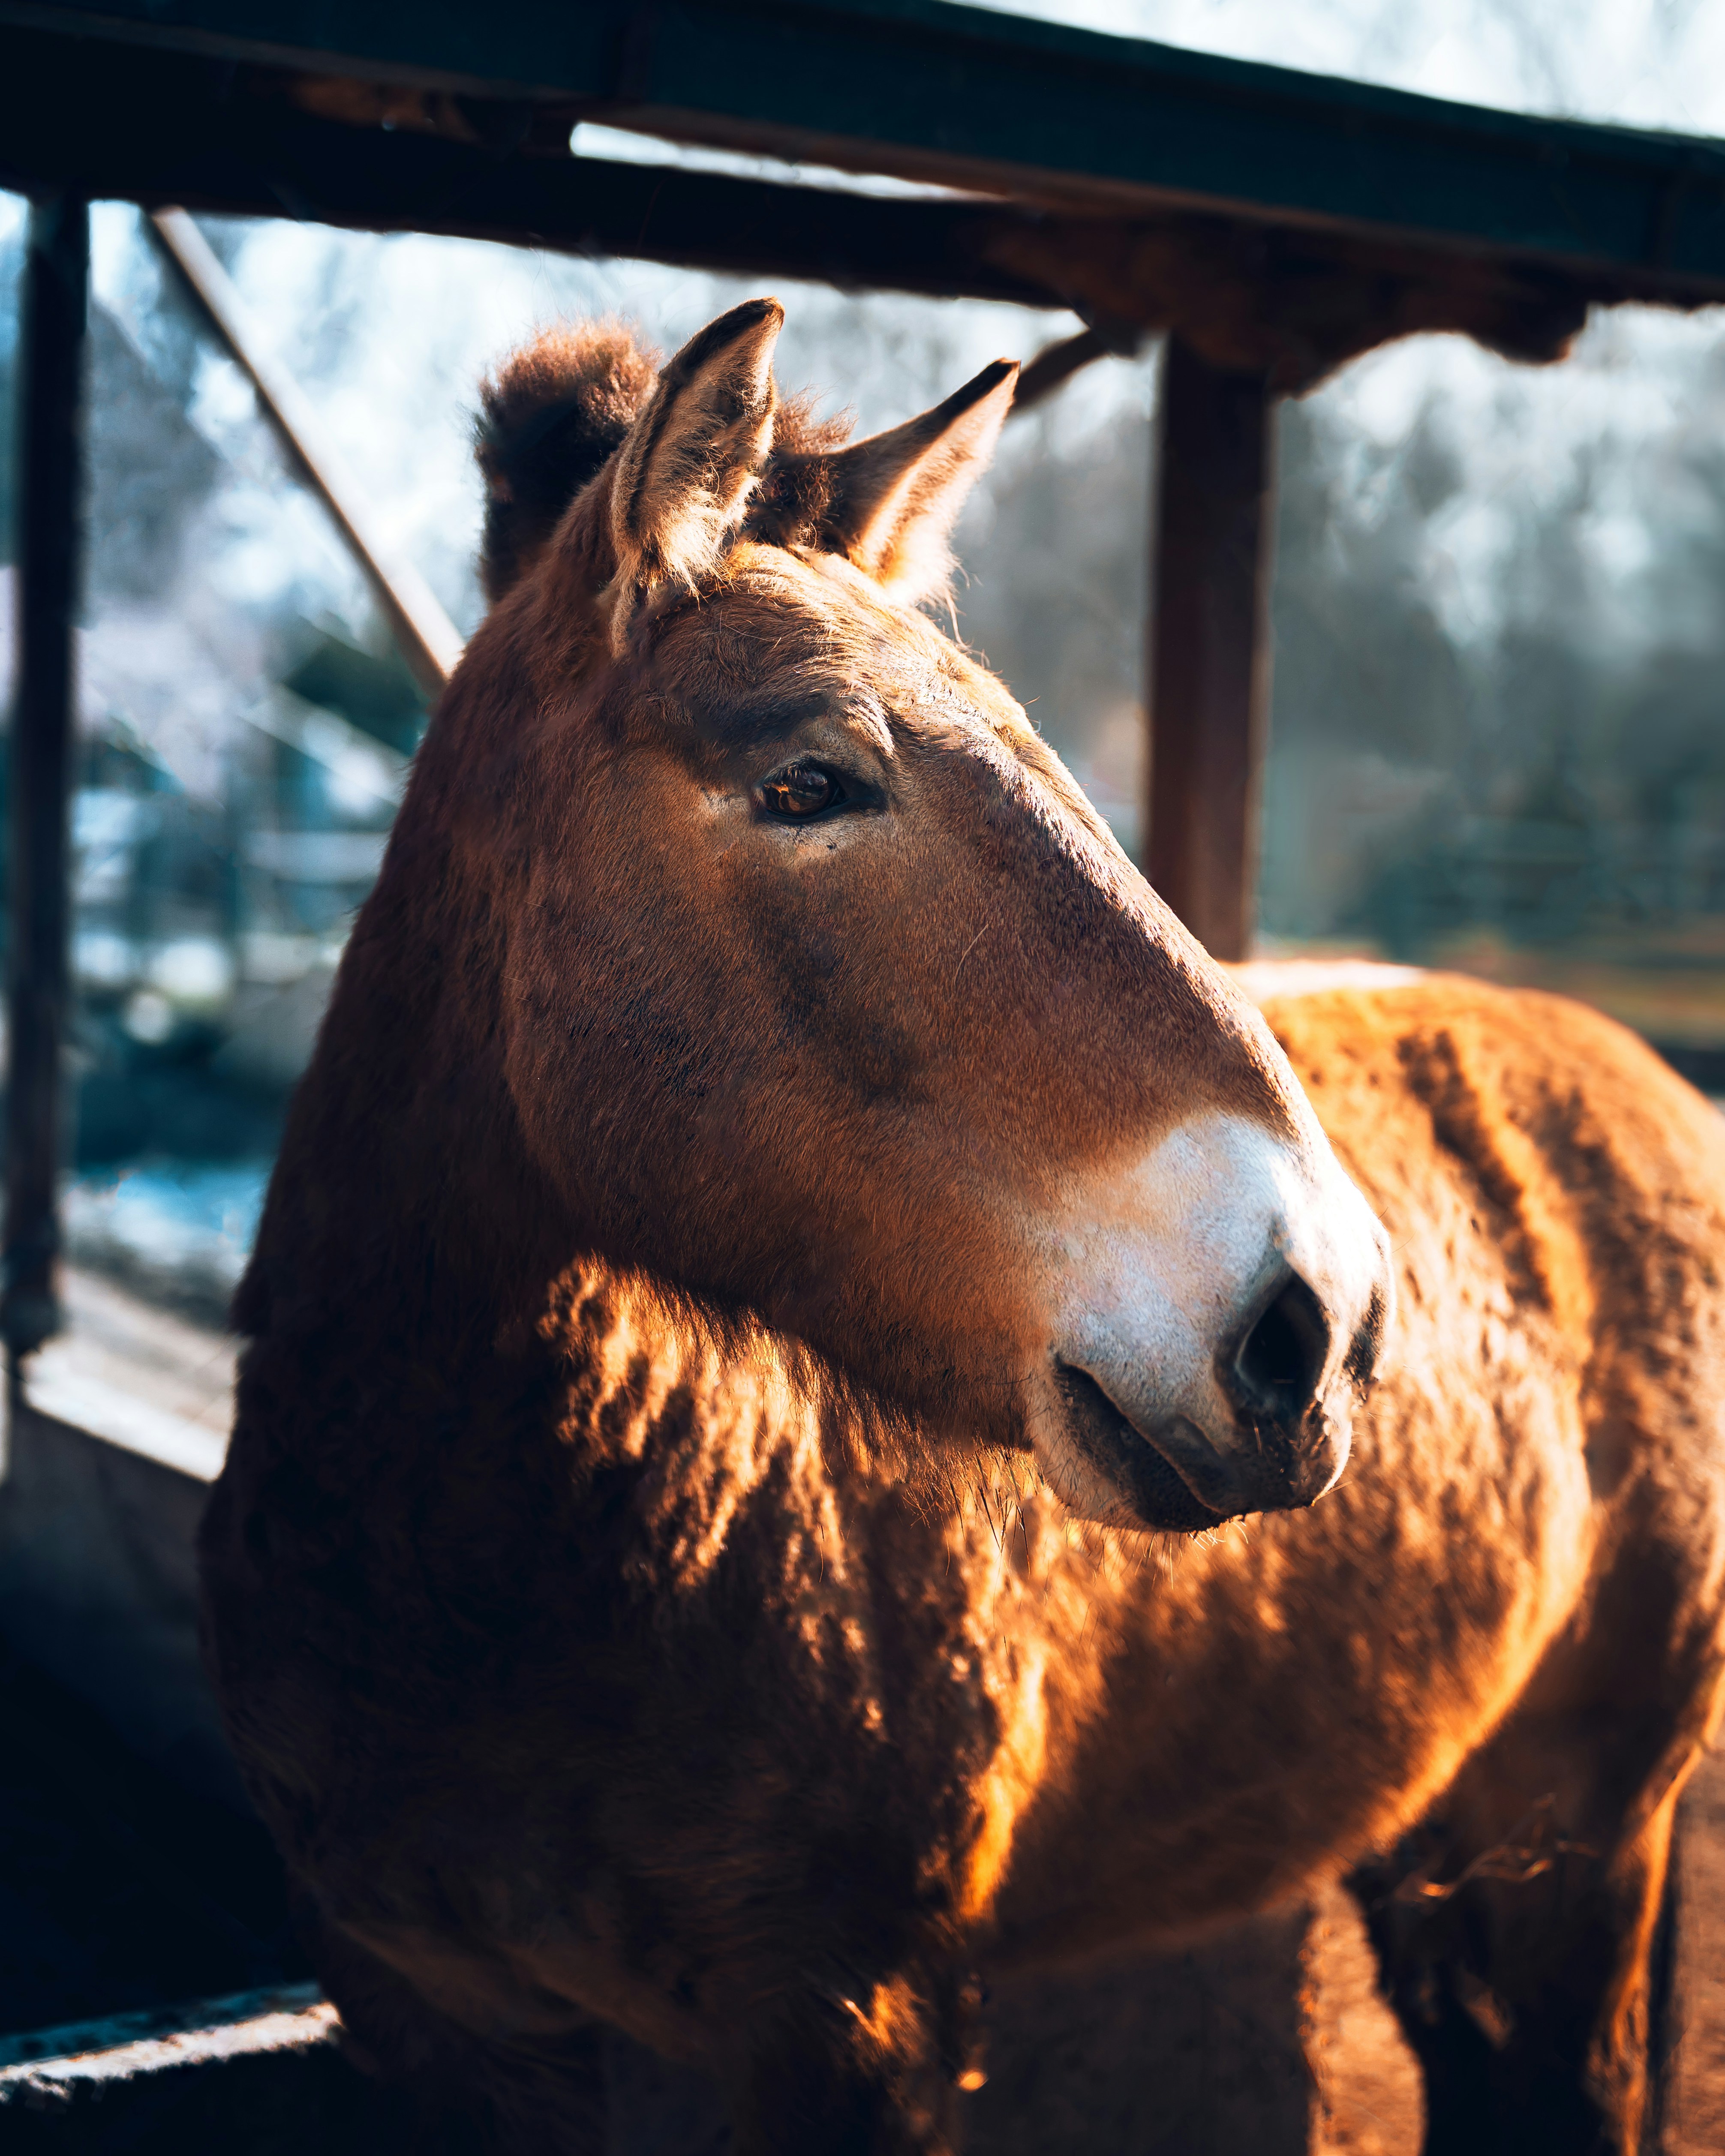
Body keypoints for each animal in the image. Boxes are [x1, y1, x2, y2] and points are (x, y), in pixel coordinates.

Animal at [200, 299, 1725, 2155]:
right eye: (807, 781)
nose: (1322, 1323)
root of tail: (1645, 1079)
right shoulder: (436, 2024)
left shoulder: (851, 2026)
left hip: (1575, 1843)